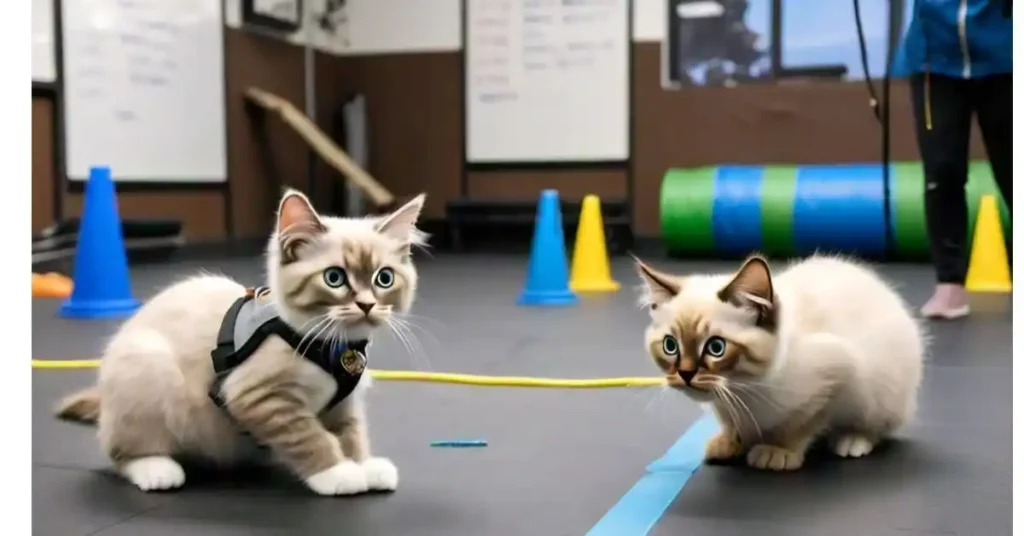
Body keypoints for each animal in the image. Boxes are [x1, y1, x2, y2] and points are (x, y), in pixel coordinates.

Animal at [52, 190, 428, 498]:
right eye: (334, 278)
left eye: (384, 278)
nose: (367, 305)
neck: (334, 346)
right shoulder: (260, 396)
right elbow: (309, 436)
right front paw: (338, 473)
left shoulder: (343, 403)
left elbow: (351, 433)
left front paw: (363, 464)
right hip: (147, 366)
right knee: (120, 451)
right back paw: (156, 469)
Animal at [634, 255, 925, 469]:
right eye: (670, 346)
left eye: (716, 348)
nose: (685, 374)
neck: (744, 388)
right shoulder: (723, 404)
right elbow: (730, 422)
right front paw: (730, 443)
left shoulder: (837, 376)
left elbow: (801, 423)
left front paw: (778, 451)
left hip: (882, 392)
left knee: (879, 425)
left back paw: (853, 440)